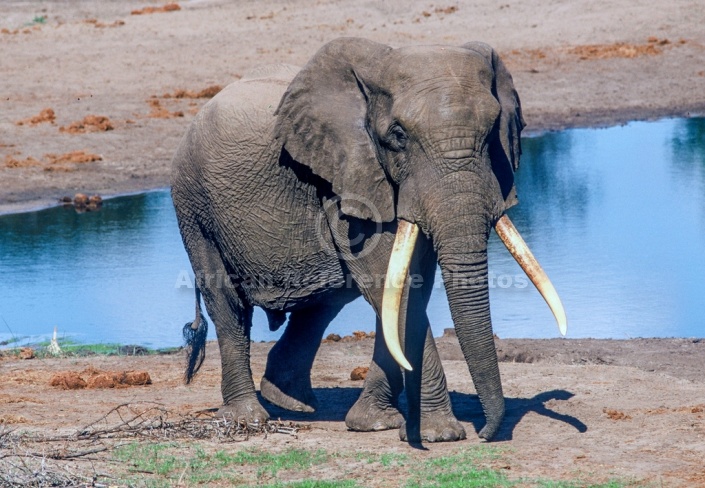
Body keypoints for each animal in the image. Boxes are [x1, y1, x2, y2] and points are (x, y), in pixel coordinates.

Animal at [172, 38, 568, 442]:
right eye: (398, 136)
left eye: (491, 135)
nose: (486, 432)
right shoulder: (345, 178)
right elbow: (393, 287)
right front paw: (440, 434)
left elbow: (408, 284)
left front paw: (377, 424)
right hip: (194, 204)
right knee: (228, 304)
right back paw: (247, 419)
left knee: (324, 302)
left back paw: (293, 403)